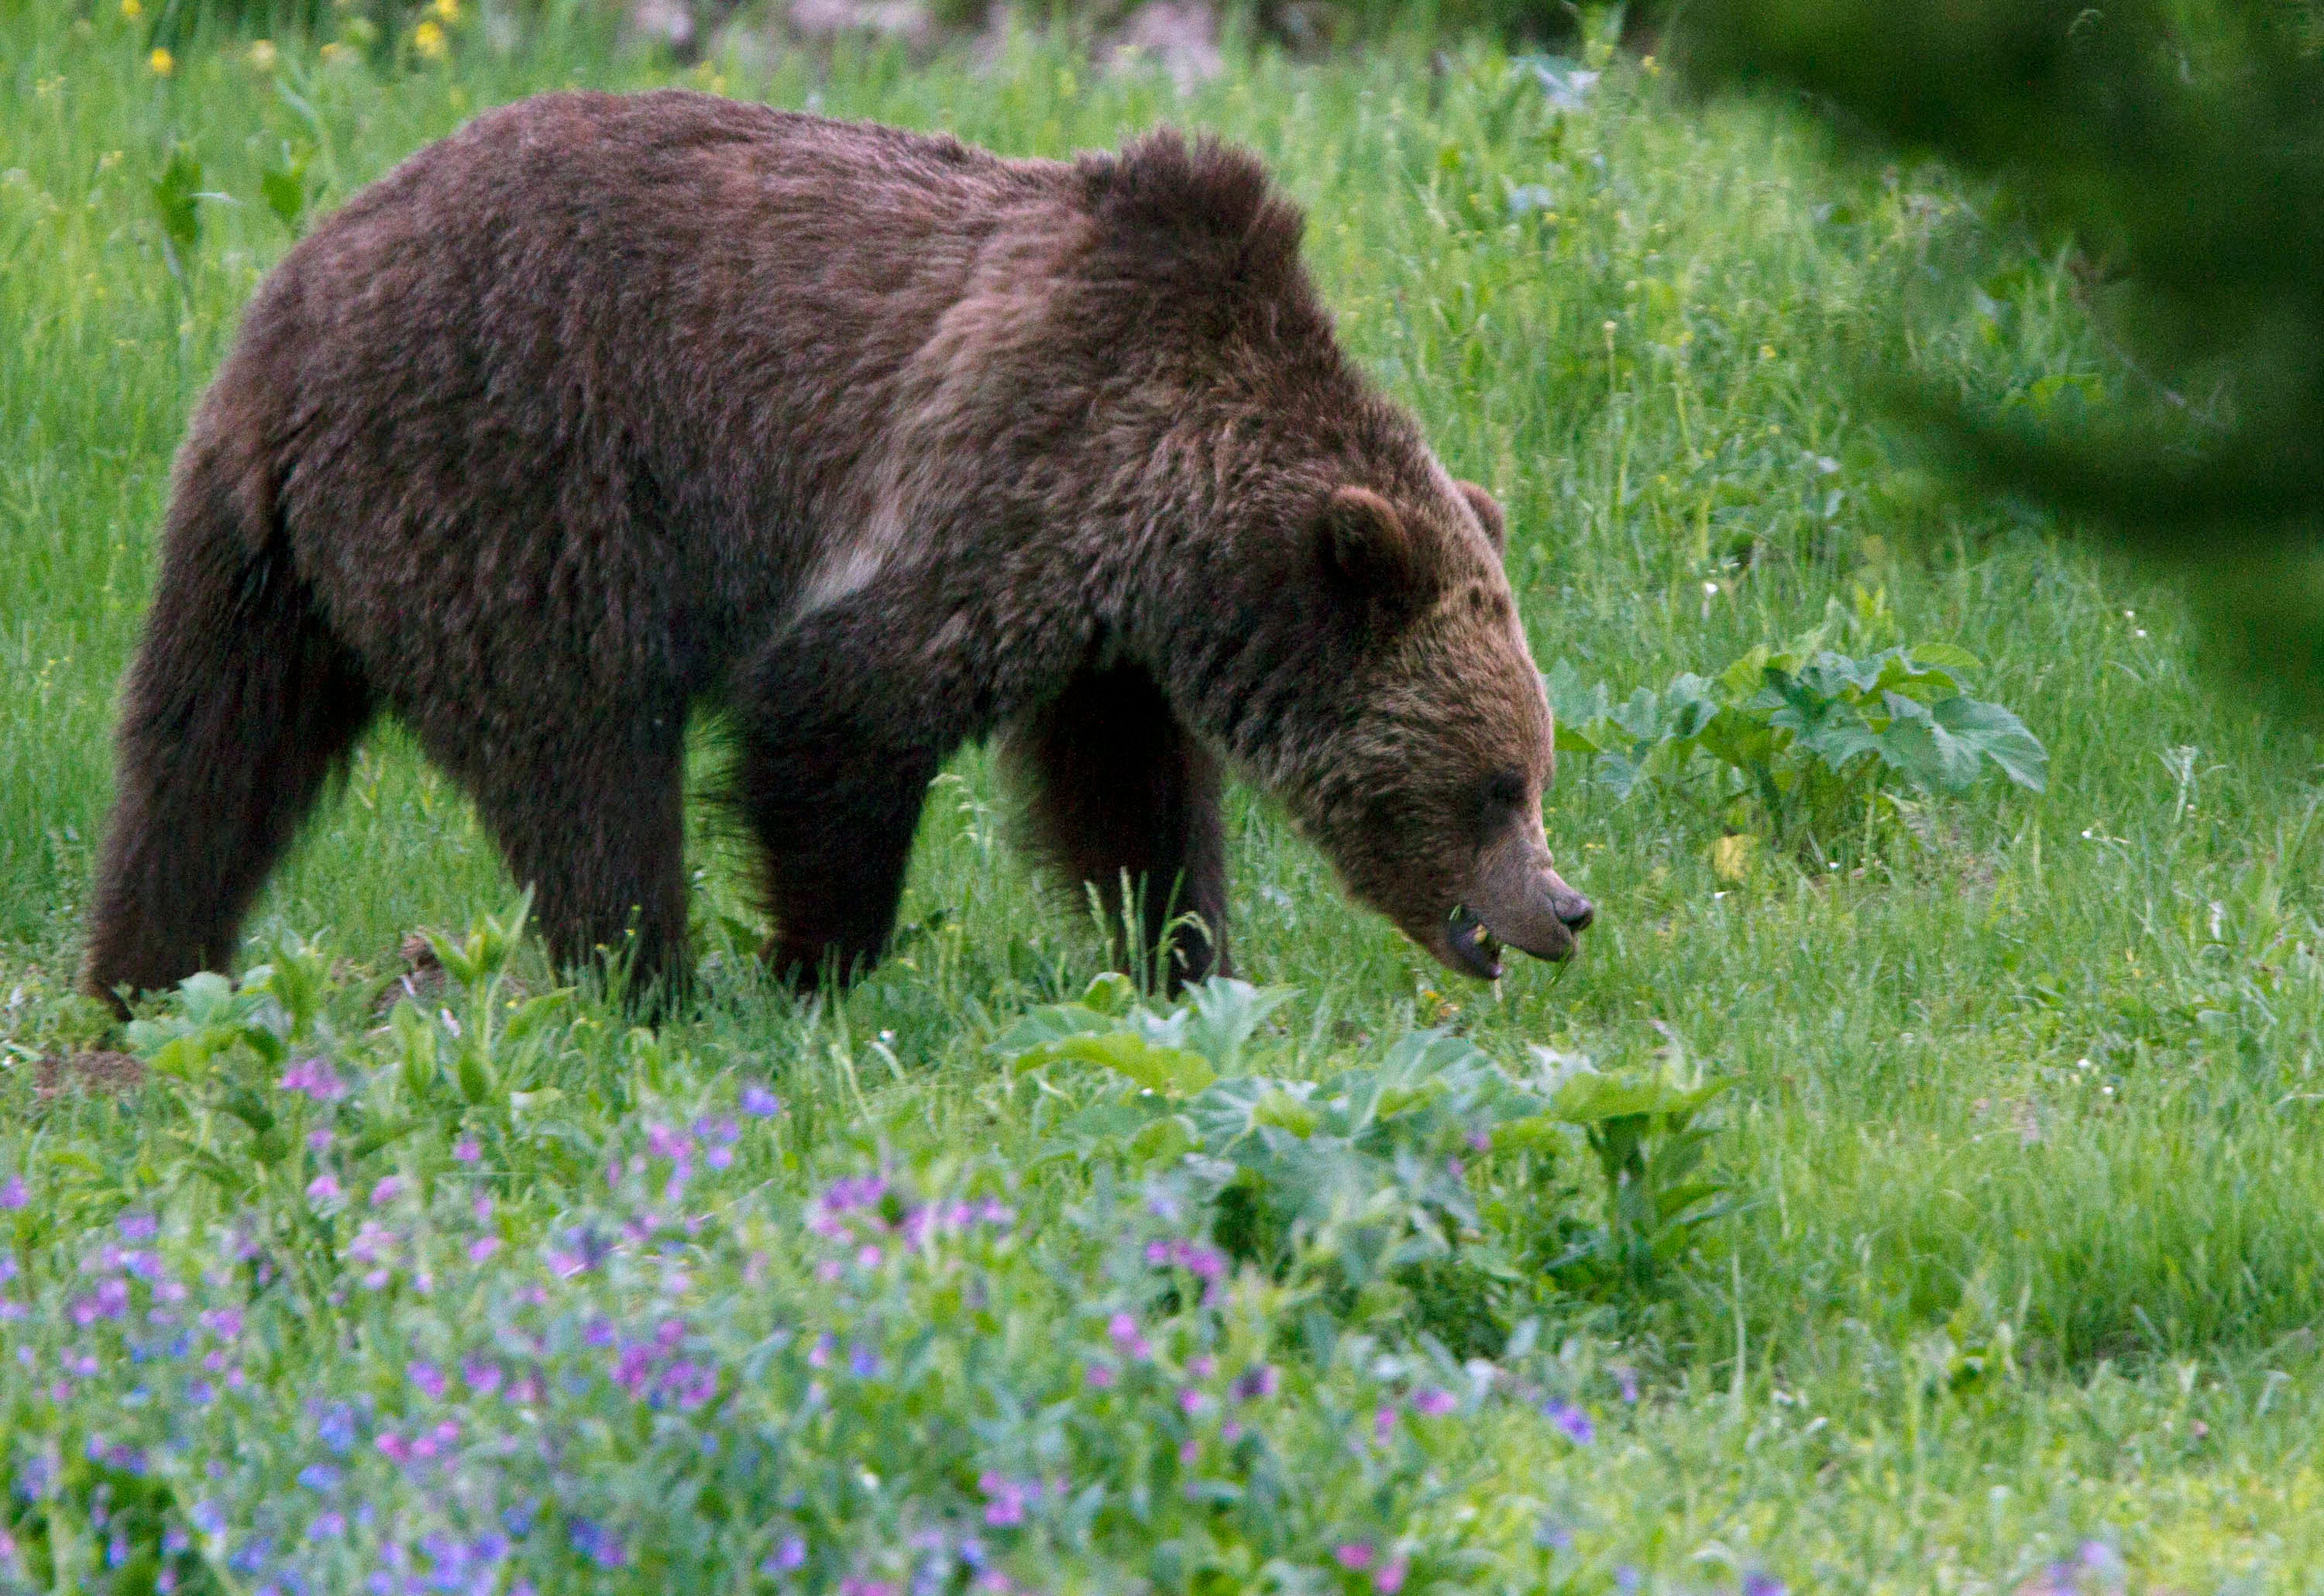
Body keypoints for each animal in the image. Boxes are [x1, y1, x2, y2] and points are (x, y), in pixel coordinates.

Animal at [77, 90, 1599, 1013]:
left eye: (1532, 770)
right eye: (1494, 784)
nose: (1565, 907)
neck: (1175, 509)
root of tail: (290, 317)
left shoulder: (1107, 628)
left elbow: (1128, 798)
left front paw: (1183, 959)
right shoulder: (1008, 466)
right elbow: (838, 706)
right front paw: (820, 969)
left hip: (263, 560)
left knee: (205, 760)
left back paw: (141, 980)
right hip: (512, 488)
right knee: (585, 762)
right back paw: (655, 983)